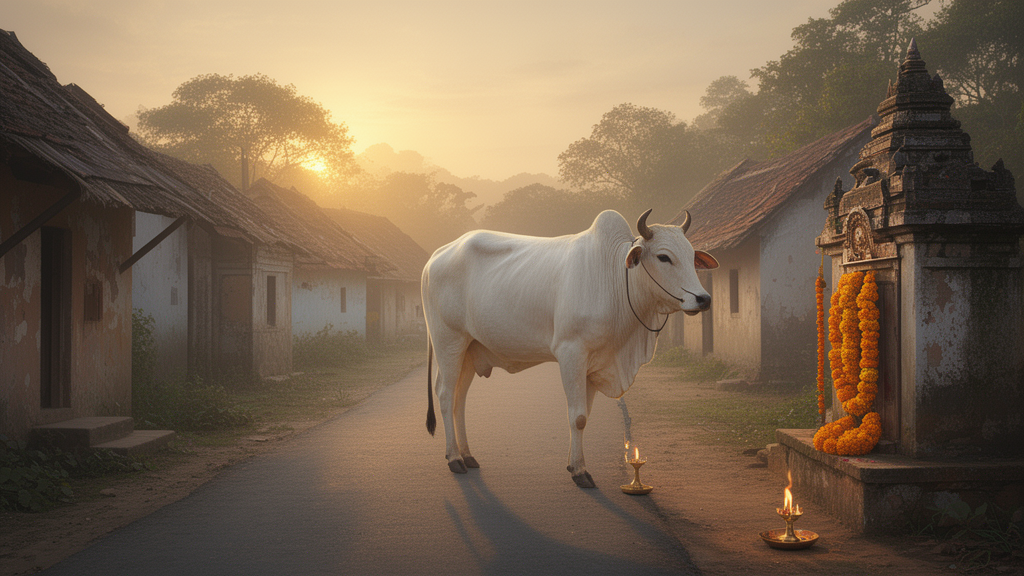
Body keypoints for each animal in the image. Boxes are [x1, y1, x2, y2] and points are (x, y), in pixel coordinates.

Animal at [421, 209, 718, 488]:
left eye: (692, 255)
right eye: (663, 257)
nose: (703, 299)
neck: (616, 279)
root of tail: (434, 257)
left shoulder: (596, 363)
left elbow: (584, 415)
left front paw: (573, 464)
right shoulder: (571, 354)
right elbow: (577, 417)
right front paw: (580, 472)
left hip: (469, 350)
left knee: (459, 399)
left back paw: (467, 454)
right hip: (449, 342)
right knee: (445, 395)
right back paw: (455, 458)